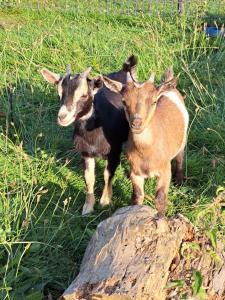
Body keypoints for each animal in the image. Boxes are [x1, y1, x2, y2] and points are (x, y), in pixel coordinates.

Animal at [101, 68, 188, 216]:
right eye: (124, 101)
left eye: (154, 101)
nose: (136, 123)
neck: (147, 153)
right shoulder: (135, 172)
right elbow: (137, 195)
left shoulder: (165, 170)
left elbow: (160, 197)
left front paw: (161, 218)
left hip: (183, 140)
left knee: (180, 157)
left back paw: (179, 181)